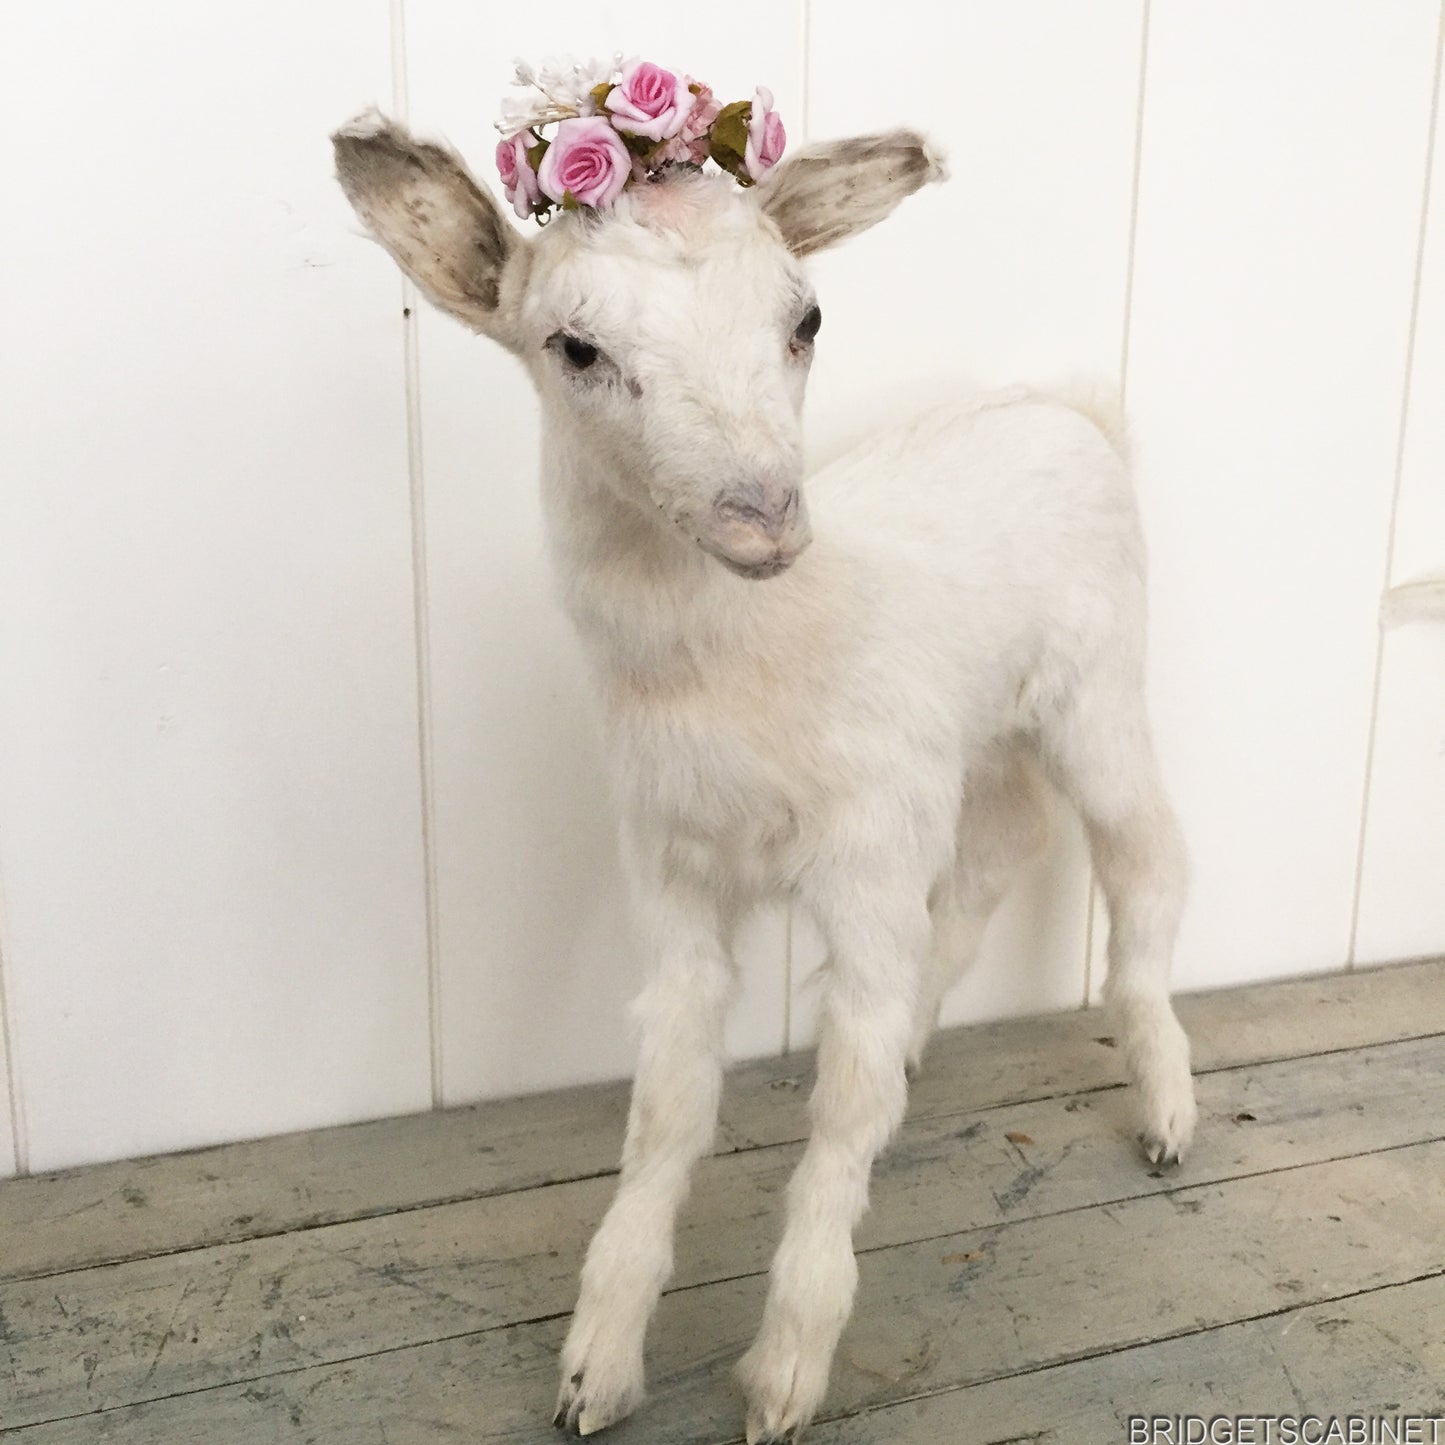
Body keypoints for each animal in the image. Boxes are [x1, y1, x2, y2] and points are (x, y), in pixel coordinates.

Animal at [333, 110, 1197, 1444]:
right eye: (573, 344)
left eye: (807, 318)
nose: (762, 517)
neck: (744, 676)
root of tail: (1071, 407)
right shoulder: (671, 869)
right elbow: (668, 1102)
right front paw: (594, 1366)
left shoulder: (865, 862)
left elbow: (835, 1108)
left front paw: (786, 1372)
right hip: (975, 735)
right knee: (1005, 840)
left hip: (1094, 686)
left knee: (1144, 855)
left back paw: (1162, 1114)